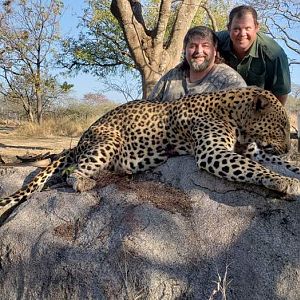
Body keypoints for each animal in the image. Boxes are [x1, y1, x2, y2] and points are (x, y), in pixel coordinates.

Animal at [0, 86, 300, 216]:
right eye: (282, 126)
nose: (289, 146)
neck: (238, 118)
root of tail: (83, 135)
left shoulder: (255, 150)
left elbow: (269, 161)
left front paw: (290, 170)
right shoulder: (212, 152)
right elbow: (253, 167)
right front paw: (284, 181)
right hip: (108, 140)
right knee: (71, 172)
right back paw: (85, 181)